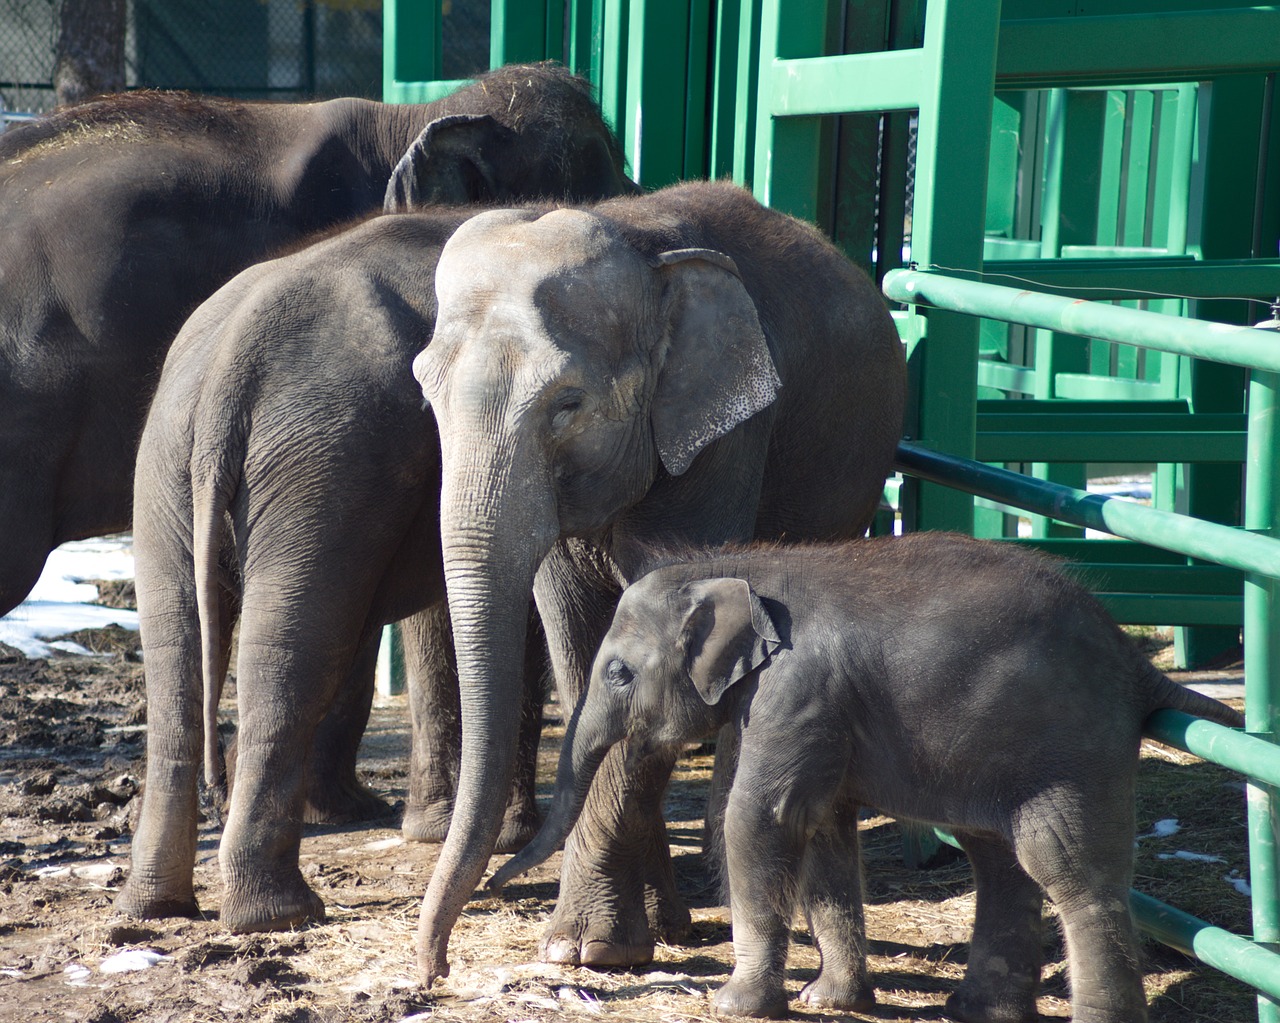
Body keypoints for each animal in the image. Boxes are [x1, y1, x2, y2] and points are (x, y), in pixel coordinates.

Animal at [111, 203, 550, 932]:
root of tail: (231, 361)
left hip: (170, 463)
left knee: (177, 652)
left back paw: (155, 908)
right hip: (323, 464)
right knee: (296, 651)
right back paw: (276, 914)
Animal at [412, 180, 911, 988]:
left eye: (569, 403)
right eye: (425, 392)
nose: (434, 969)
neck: (639, 244)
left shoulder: (726, 440)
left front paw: (589, 948)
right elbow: (580, 639)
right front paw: (603, 939)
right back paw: (673, 915)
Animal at [494, 532, 1244, 1023]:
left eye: (619, 672)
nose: (502, 877)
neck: (738, 564)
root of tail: (1131, 657)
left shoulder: (796, 692)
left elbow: (760, 819)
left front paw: (737, 1005)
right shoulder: (819, 714)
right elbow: (824, 831)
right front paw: (829, 1000)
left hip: (1071, 747)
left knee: (1061, 863)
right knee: (999, 858)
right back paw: (978, 1008)